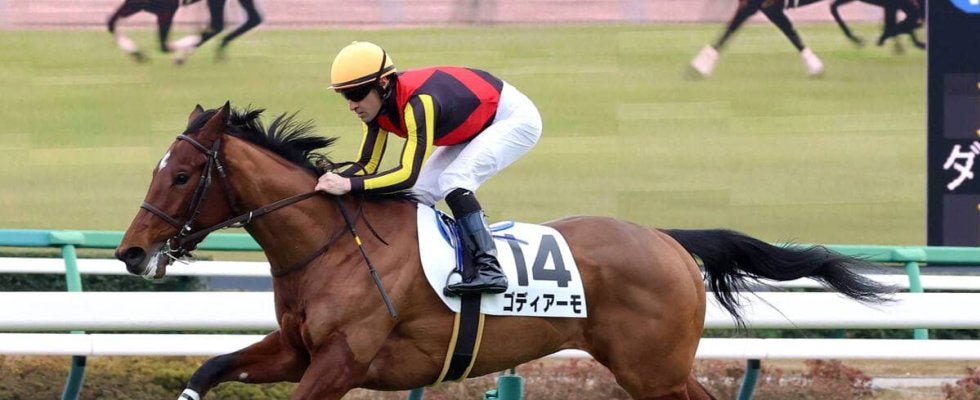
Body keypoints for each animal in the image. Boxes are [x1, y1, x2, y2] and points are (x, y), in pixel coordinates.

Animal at [106, 0, 262, 64]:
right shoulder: (137, 4)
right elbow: (111, 23)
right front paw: (136, 53)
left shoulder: (168, 8)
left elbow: (164, 45)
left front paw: (181, 53)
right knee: (252, 19)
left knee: (218, 25)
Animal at [114, 103, 893, 400]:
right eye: (156, 169)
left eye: (180, 175)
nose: (130, 253)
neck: (334, 244)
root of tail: (667, 240)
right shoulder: (299, 350)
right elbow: (211, 366)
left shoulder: (340, 362)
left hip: (655, 369)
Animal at [689, 0, 923, 78]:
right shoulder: (766, 6)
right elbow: (791, 33)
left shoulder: (759, 4)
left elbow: (728, 31)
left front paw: (698, 67)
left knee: (910, 10)